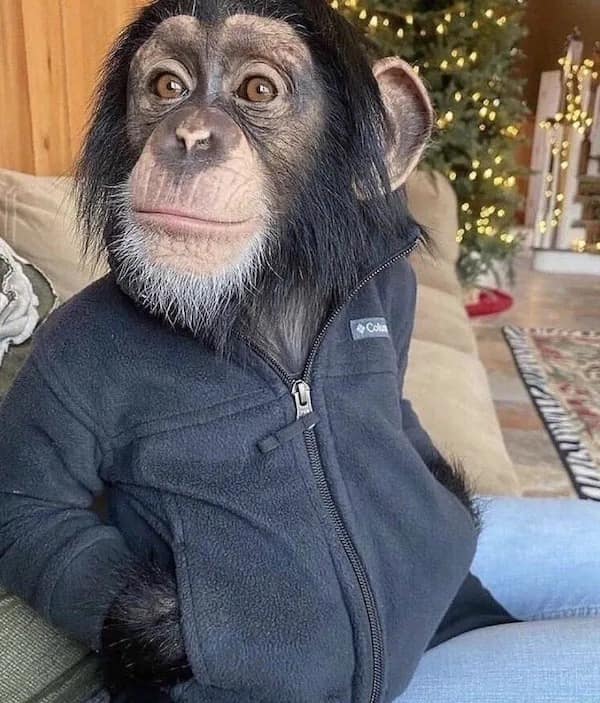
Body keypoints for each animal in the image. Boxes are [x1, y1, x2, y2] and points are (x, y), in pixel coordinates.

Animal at [0, 2, 514, 702]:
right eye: (167, 86)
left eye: (258, 91)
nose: (190, 136)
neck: (266, 309)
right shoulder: (63, 362)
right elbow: (32, 508)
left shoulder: (396, 290)